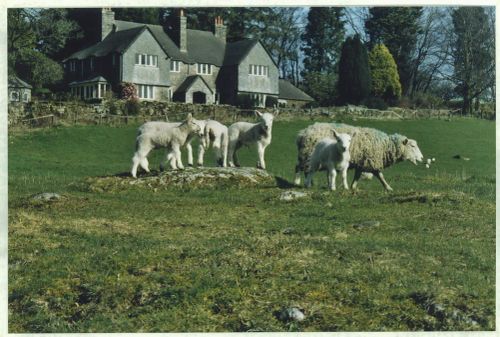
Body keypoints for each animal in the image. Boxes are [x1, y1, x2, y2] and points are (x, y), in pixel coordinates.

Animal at [294, 122, 424, 190]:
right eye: (412, 146)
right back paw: (300, 182)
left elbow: (358, 175)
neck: (384, 145)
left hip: (305, 155)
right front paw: (388, 188)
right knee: (303, 169)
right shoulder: (371, 160)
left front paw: (353, 187)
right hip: (308, 155)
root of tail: (302, 133)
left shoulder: (363, 162)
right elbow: (380, 175)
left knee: (301, 168)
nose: (422, 158)